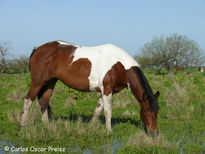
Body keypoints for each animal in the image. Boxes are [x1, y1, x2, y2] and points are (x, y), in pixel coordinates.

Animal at [19, 40, 160, 134]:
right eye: (145, 110)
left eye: (157, 111)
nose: (153, 132)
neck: (119, 65)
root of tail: (37, 49)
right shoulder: (107, 90)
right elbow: (107, 111)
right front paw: (109, 131)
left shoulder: (107, 92)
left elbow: (98, 109)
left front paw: (90, 127)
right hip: (37, 83)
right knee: (28, 101)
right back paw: (22, 125)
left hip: (50, 83)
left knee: (44, 101)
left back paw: (47, 126)